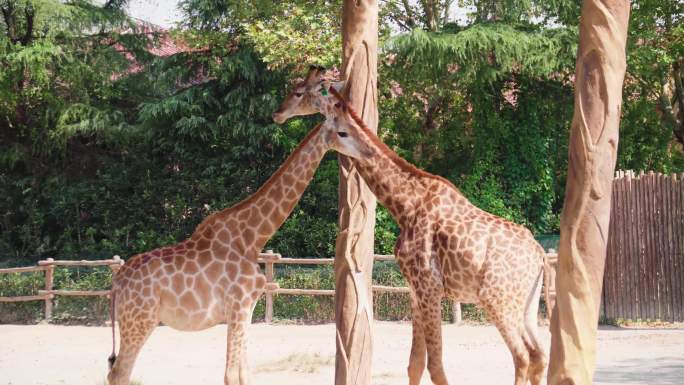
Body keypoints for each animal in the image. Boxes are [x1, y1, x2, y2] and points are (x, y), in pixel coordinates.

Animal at [107, 79, 374, 384]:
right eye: (343, 131)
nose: (370, 151)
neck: (253, 237)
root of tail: (117, 283)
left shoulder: (248, 309)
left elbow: (244, 373)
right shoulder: (238, 307)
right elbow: (231, 375)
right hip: (139, 321)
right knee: (120, 373)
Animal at [276, 67, 548, 384]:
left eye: (298, 92)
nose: (278, 113)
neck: (405, 206)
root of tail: (540, 256)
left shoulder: (429, 286)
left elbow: (437, 367)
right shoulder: (416, 290)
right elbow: (415, 363)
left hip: (498, 300)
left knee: (522, 357)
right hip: (526, 305)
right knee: (539, 355)